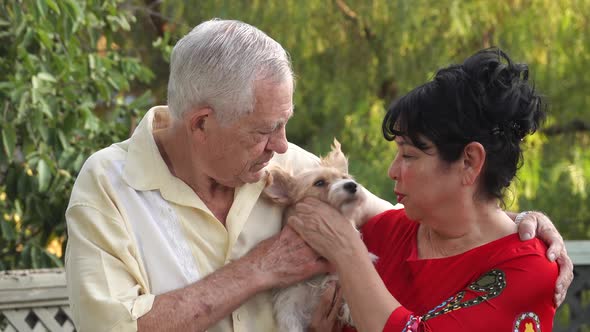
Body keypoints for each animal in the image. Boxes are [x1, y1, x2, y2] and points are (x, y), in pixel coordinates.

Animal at [266, 139, 376, 332]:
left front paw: (350, 310)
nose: (352, 185)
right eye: (319, 183)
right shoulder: (289, 304)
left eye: (345, 178)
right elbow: (292, 324)